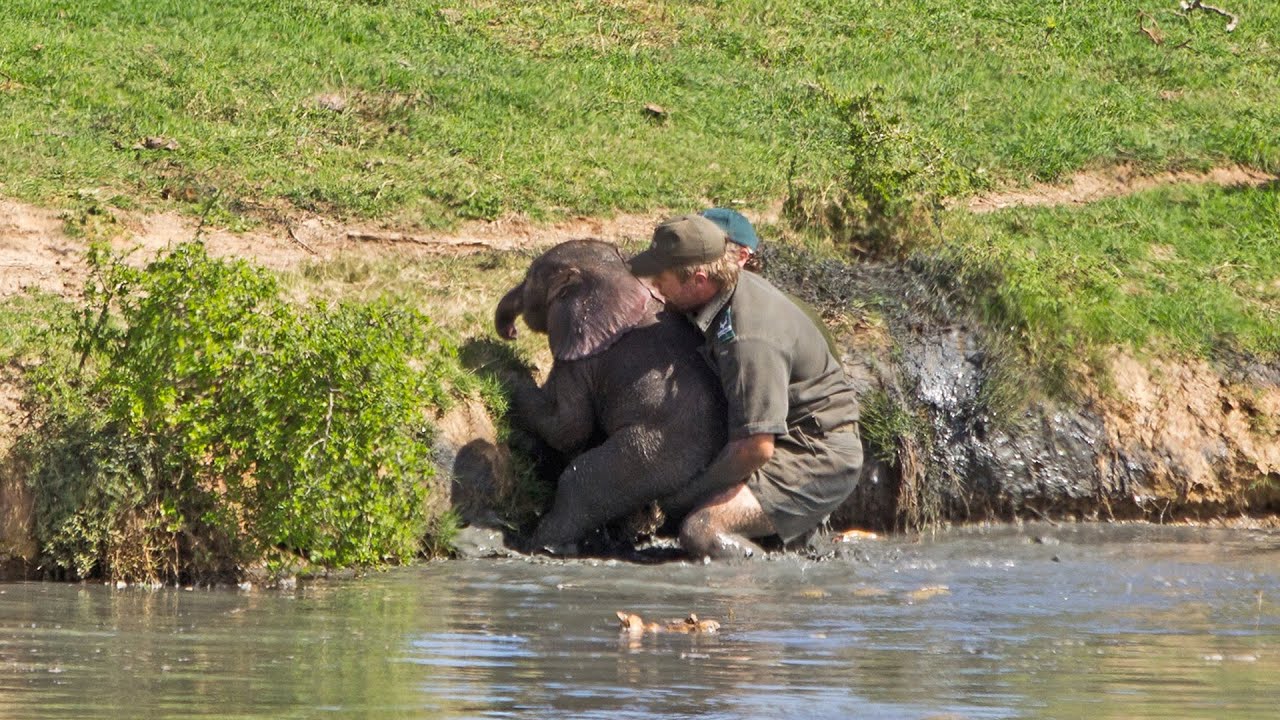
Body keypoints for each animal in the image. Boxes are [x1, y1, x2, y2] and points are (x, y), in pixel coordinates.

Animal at [494, 239, 728, 551]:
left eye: (530, 279)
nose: (512, 333)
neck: (619, 274)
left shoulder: (582, 357)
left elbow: (567, 427)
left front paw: (503, 371)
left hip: (654, 453)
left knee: (581, 479)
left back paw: (540, 543)